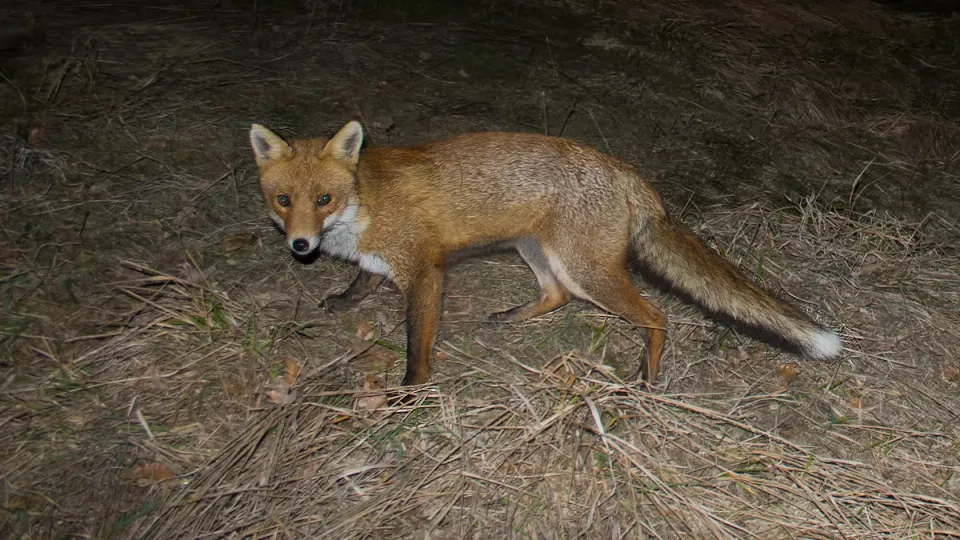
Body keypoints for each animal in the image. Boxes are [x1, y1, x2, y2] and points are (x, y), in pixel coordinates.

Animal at [248, 120, 842, 386]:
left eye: (324, 199)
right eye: (284, 201)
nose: (300, 245)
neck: (364, 203)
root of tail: (624, 170)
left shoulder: (425, 272)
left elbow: (417, 343)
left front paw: (411, 393)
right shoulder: (381, 261)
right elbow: (362, 281)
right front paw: (343, 301)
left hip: (588, 271)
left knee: (658, 314)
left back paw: (647, 377)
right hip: (538, 251)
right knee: (555, 295)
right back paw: (511, 317)